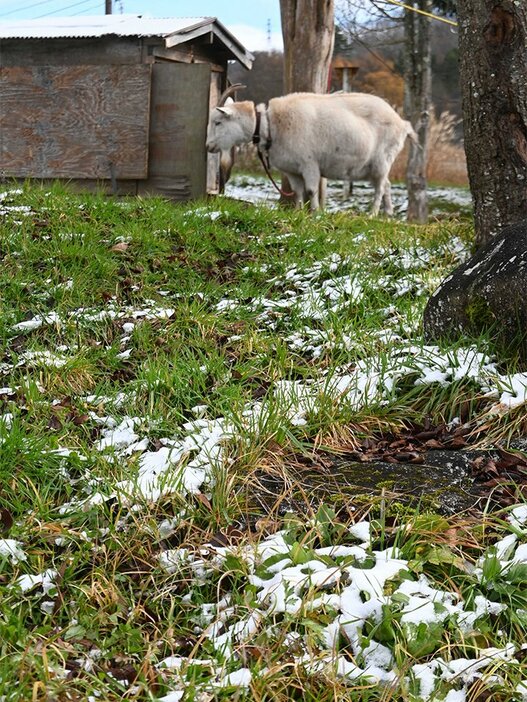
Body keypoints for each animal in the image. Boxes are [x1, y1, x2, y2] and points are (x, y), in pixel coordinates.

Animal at [206, 92, 416, 216]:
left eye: (218, 122)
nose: (208, 146)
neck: (270, 125)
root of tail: (403, 123)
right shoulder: (292, 170)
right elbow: (298, 192)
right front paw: (298, 214)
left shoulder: (309, 164)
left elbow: (311, 190)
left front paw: (314, 214)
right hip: (375, 167)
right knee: (386, 184)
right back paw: (388, 215)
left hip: (383, 158)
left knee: (380, 187)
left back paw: (372, 214)